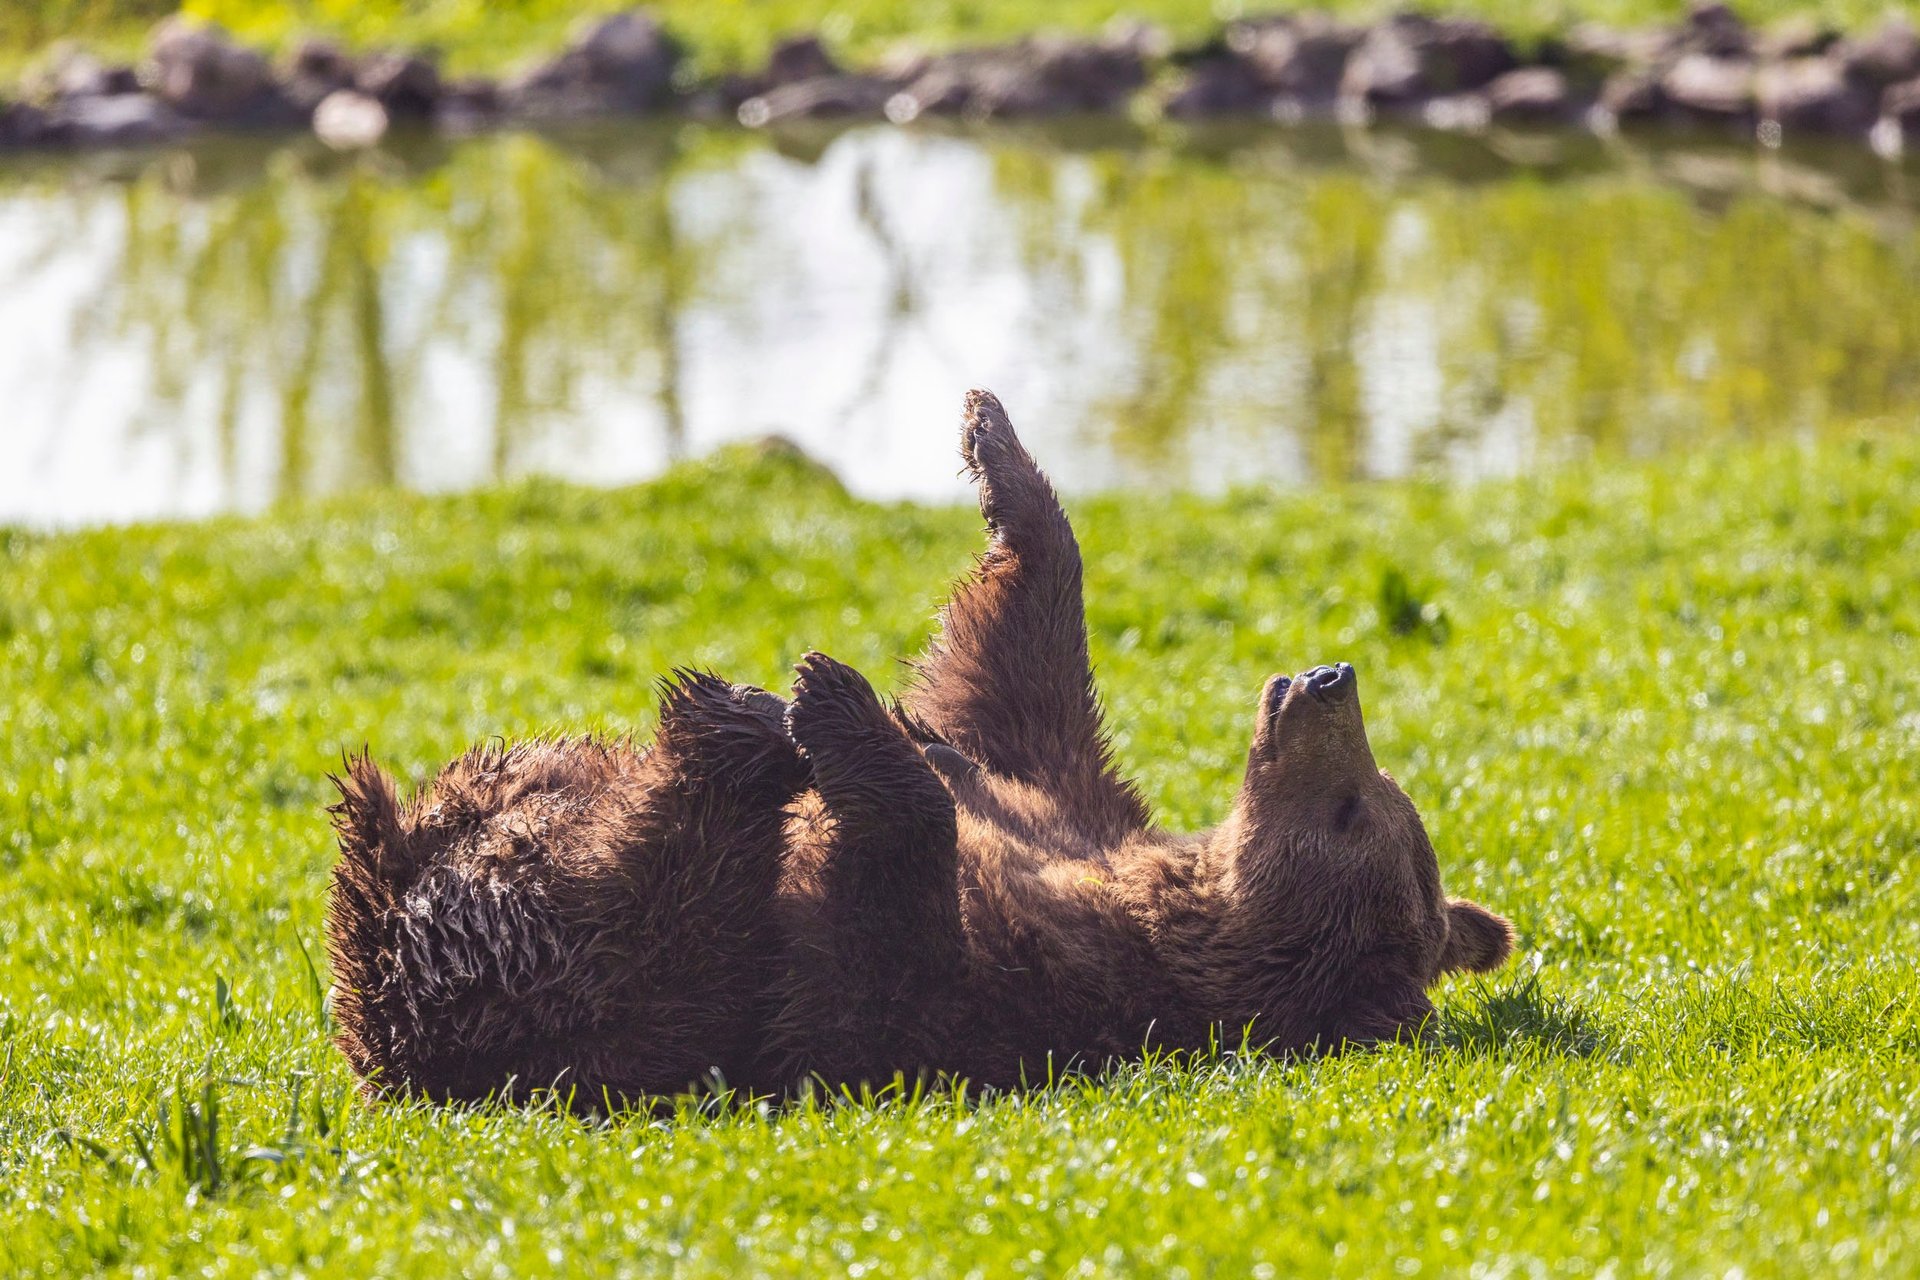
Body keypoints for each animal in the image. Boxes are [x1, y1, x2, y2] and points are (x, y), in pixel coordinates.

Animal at [322, 385, 1505, 1105]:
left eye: (1357, 807)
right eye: (1382, 787)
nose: (1327, 681)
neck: (1181, 887)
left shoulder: (1026, 976)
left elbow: (878, 949)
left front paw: (833, 697)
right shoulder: (1065, 798)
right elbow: (1014, 676)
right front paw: (995, 440)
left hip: (575, 981)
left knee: (664, 890)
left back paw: (736, 721)